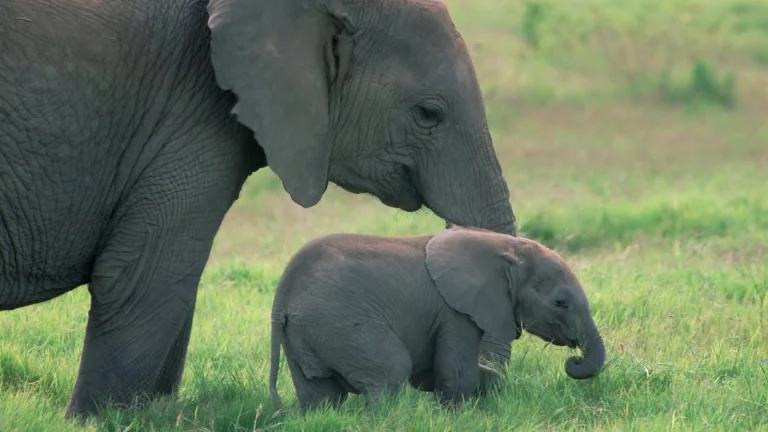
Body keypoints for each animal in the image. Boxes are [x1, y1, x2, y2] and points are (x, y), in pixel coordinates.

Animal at [0, 0, 519, 418]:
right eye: (429, 114)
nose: (480, 386)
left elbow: (171, 292)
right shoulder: (190, 110)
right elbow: (144, 279)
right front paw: (97, 420)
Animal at [268, 227, 606, 411]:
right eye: (561, 302)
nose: (574, 360)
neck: (506, 247)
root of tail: (281, 296)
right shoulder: (455, 311)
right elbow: (456, 371)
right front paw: (455, 416)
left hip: (305, 332)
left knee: (320, 394)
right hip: (338, 320)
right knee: (390, 371)